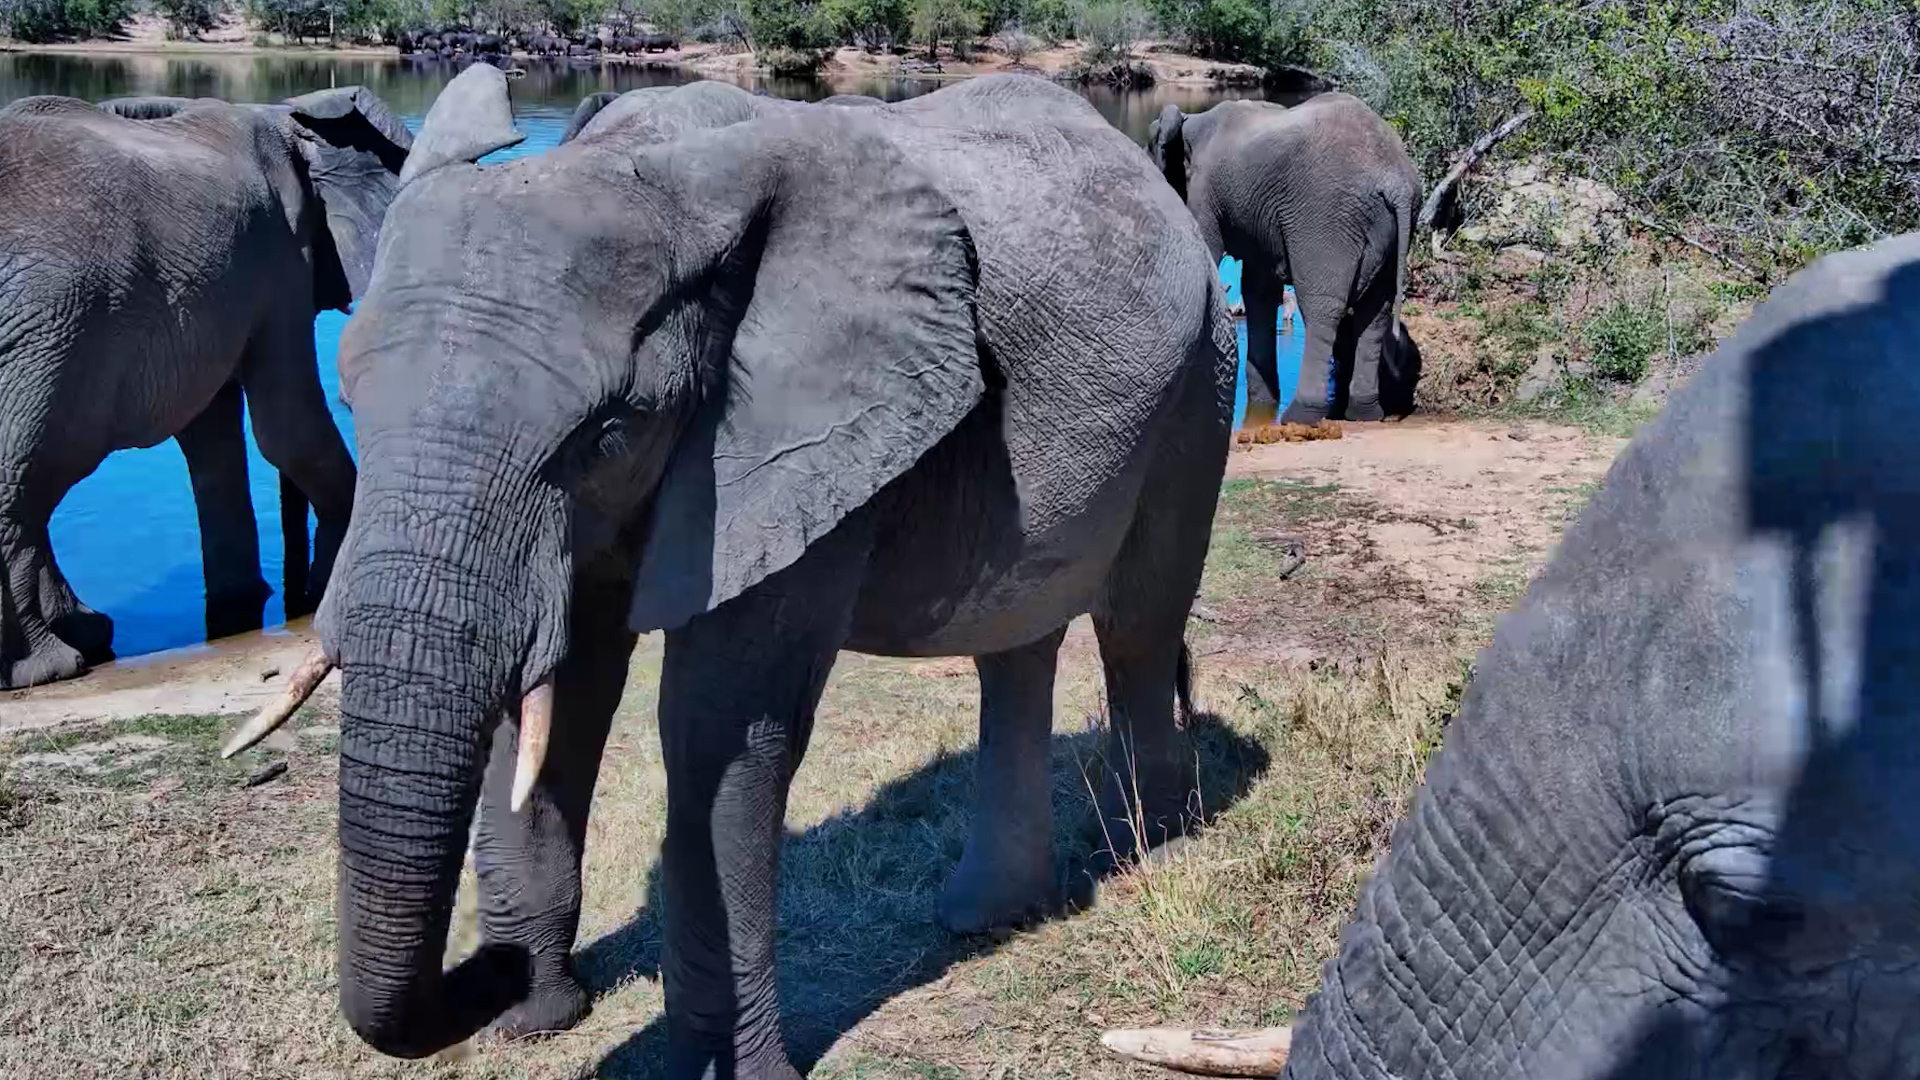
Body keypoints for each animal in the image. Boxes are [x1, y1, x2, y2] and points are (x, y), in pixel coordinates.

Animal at [0, 87, 410, 688]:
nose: (297, 600)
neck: (284, 116)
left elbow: (213, 439)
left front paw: (249, 599)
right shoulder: (280, 255)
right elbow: (286, 426)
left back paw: (82, 636)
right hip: (47, 334)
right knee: (27, 480)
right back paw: (51, 664)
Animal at [227, 65, 1237, 1077]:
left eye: (606, 433)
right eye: (351, 394)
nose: (489, 974)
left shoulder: (795, 436)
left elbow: (716, 729)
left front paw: (728, 1070)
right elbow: (564, 690)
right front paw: (539, 1016)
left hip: (1203, 374)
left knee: (1138, 625)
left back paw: (1154, 848)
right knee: (1017, 645)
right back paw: (988, 914)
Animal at [1150, 94, 1422, 424]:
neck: (1192, 121)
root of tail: (1396, 181)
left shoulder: (1205, 193)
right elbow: (1259, 291)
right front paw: (1262, 403)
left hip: (1326, 218)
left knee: (1321, 308)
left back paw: (1301, 416)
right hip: (1390, 230)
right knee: (1376, 312)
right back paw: (1365, 413)